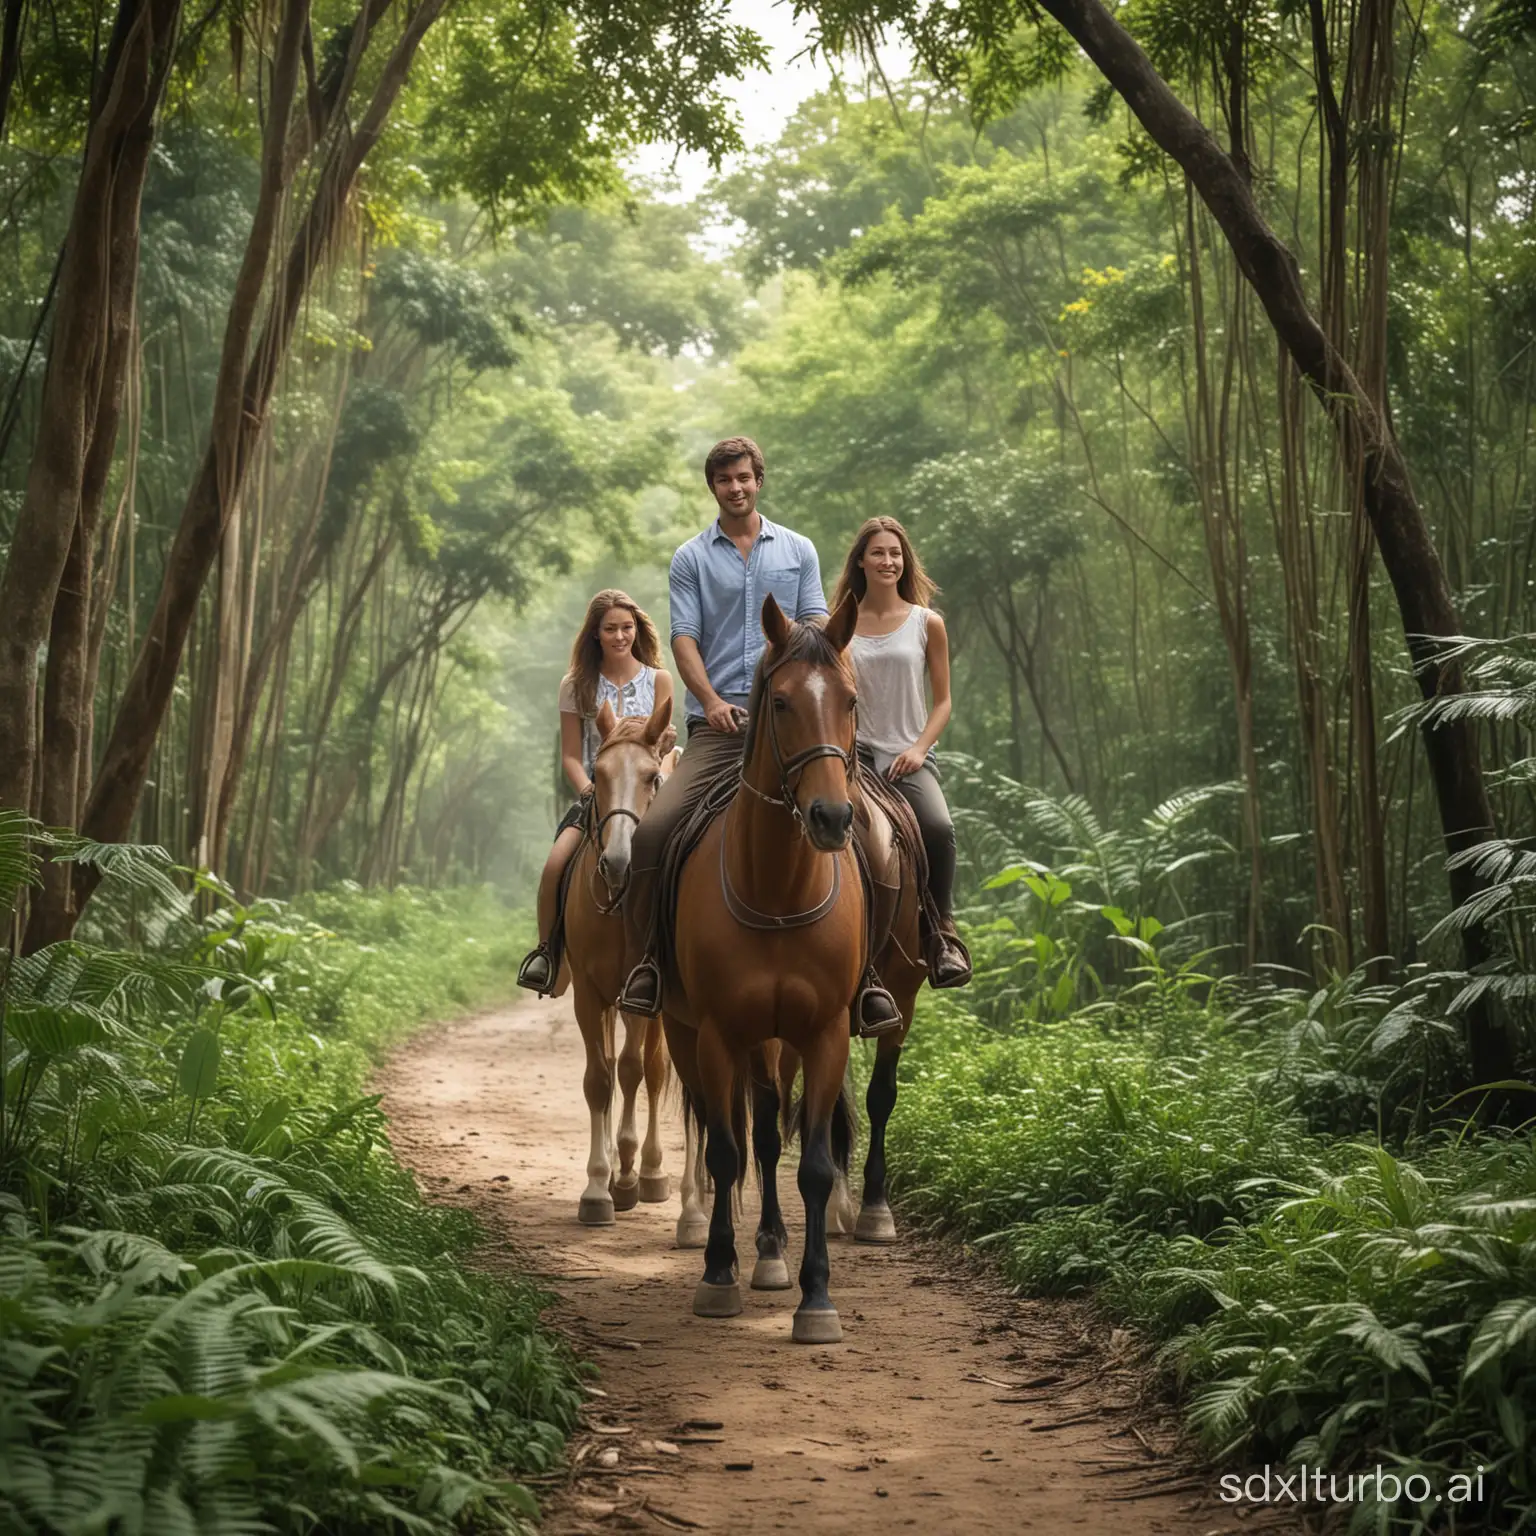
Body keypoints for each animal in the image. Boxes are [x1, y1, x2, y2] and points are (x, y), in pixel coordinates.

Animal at [660, 592, 878, 1339]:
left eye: (850, 699)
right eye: (780, 702)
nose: (832, 816)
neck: (779, 889)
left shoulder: (826, 1034)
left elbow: (809, 1165)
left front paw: (816, 1299)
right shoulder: (719, 1034)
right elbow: (725, 1152)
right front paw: (718, 1277)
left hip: (778, 1044)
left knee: (765, 1128)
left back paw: (775, 1252)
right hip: (692, 1035)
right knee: (731, 1131)